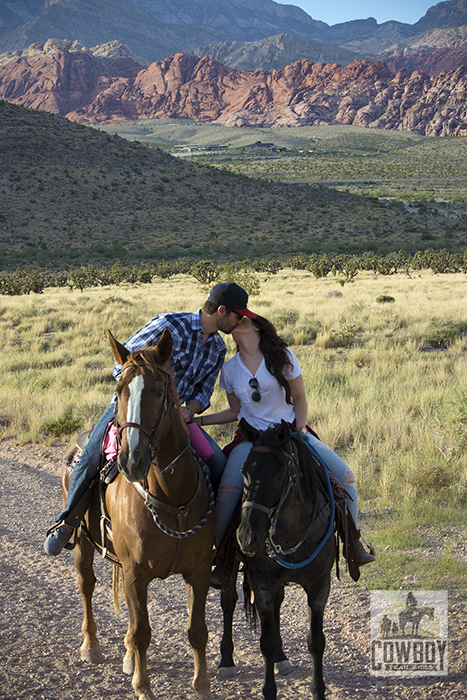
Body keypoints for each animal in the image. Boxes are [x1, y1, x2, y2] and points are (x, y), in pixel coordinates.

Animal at [61, 330, 216, 700]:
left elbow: (197, 629)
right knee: (87, 585)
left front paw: (202, 684)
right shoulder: (135, 571)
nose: (132, 460)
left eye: (160, 392)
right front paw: (143, 687)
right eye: (119, 391)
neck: (173, 497)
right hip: (82, 543)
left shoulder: (199, 570)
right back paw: (91, 645)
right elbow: (142, 631)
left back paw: (129, 658)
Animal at [221, 422, 334, 700]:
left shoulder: (320, 584)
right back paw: (226, 661)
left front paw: (318, 690)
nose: (247, 536)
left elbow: (316, 641)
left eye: (280, 475)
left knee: (277, 605)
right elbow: (267, 642)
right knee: (228, 602)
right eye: (244, 471)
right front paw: (269, 690)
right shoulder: (263, 582)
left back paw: (282, 660)